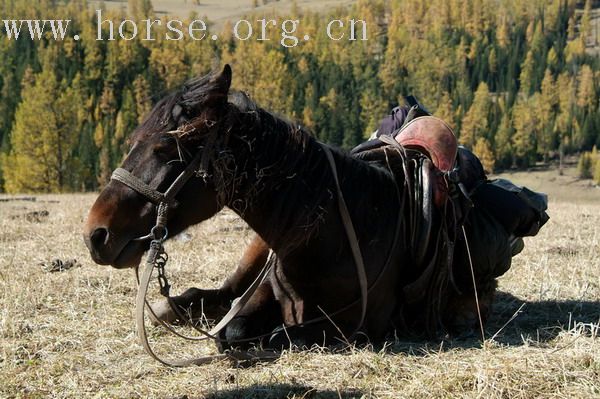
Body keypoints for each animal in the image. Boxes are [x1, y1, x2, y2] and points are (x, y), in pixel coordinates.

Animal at [84, 66, 548, 356]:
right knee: (215, 294)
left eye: (166, 148)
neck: (335, 233)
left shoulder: (353, 327)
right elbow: (234, 328)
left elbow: (252, 334)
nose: (96, 234)